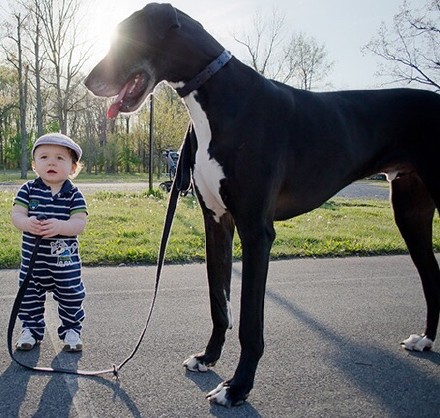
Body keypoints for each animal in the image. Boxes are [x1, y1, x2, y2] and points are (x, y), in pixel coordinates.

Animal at [84, 2, 438, 408]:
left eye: (127, 37)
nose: (88, 81)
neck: (220, 97)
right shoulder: (216, 223)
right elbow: (219, 303)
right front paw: (208, 357)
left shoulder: (256, 231)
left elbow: (250, 323)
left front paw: (238, 387)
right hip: (409, 212)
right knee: (432, 276)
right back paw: (426, 340)